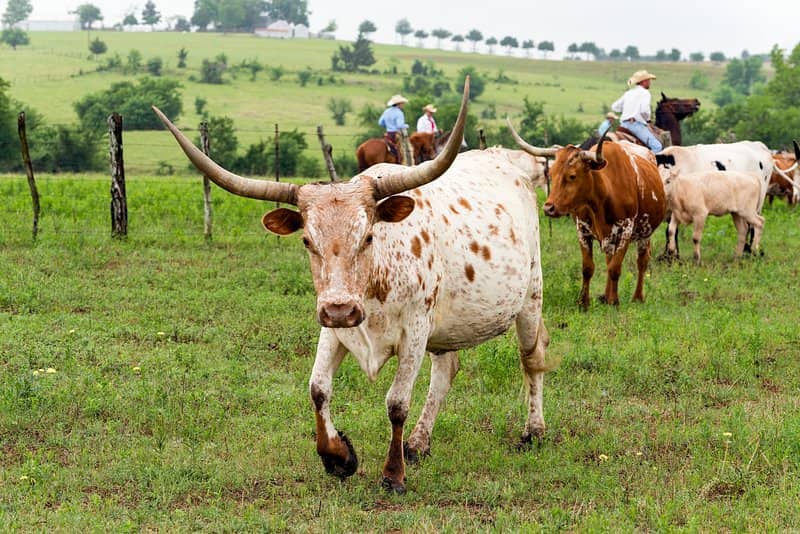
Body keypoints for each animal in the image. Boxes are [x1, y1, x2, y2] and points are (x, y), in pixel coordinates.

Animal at [152, 80, 552, 495]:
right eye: (307, 241)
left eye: (368, 236)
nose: (341, 309)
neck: (379, 278)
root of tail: (505, 159)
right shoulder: (333, 327)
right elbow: (317, 387)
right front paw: (338, 456)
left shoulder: (415, 331)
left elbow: (396, 402)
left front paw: (393, 474)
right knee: (445, 371)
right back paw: (418, 442)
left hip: (530, 295)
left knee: (531, 358)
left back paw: (533, 431)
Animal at [508, 120, 666, 309]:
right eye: (551, 174)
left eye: (572, 176)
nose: (548, 208)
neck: (603, 196)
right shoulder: (582, 230)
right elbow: (588, 268)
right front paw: (583, 301)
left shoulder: (626, 231)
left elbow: (615, 268)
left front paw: (614, 301)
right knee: (609, 259)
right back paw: (605, 295)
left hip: (645, 232)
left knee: (642, 260)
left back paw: (637, 297)